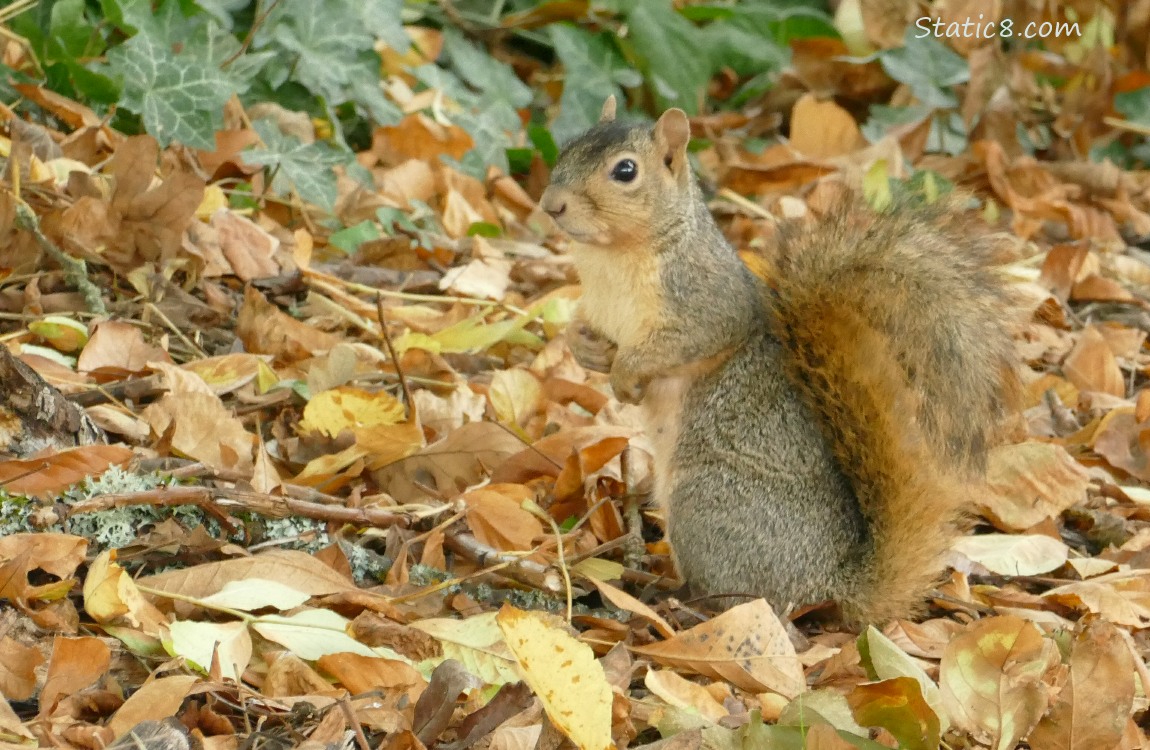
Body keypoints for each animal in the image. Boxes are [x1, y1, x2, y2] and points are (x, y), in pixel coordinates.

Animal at [538, 99, 1016, 625]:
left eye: (625, 171)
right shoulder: (599, 306)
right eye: (566, 146)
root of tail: (828, 583)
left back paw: (678, 601)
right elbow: (581, 329)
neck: (612, 259)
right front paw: (587, 348)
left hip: (708, 501)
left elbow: (687, 342)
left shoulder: (709, 302)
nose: (551, 204)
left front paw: (627, 374)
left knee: (752, 600)